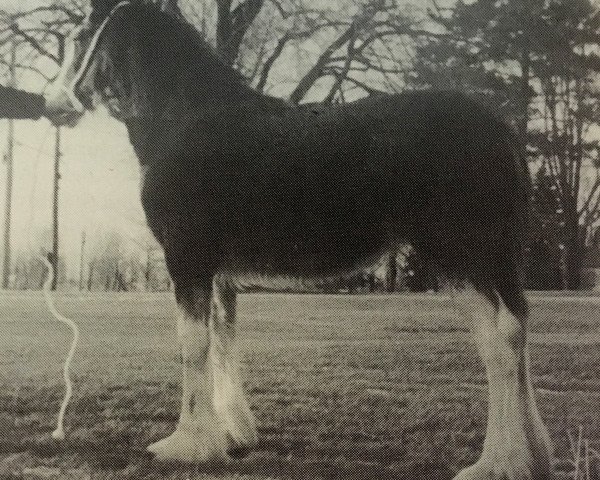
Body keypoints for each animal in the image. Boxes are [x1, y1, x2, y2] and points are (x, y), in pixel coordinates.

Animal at [44, 1, 556, 478]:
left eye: (79, 36)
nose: (53, 105)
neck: (185, 119)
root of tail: (501, 131)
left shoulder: (186, 258)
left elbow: (193, 345)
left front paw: (186, 444)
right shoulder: (219, 273)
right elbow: (223, 339)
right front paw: (234, 435)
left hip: (460, 257)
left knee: (498, 344)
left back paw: (498, 463)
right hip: (494, 261)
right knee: (517, 333)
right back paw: (533, 456)